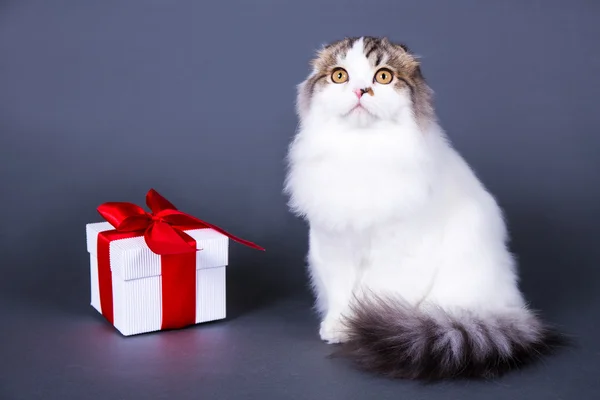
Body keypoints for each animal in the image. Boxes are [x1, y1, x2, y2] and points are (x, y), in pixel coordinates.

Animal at [284, 36, 564, 380]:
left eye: (383, 77)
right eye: (340, 76)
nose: (361, 90)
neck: (362, 152)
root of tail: (509, 306)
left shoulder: (398, 251)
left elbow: (371, 295)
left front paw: (363, 325)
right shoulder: (333, 246)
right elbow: (341, 292)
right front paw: (340, 326)